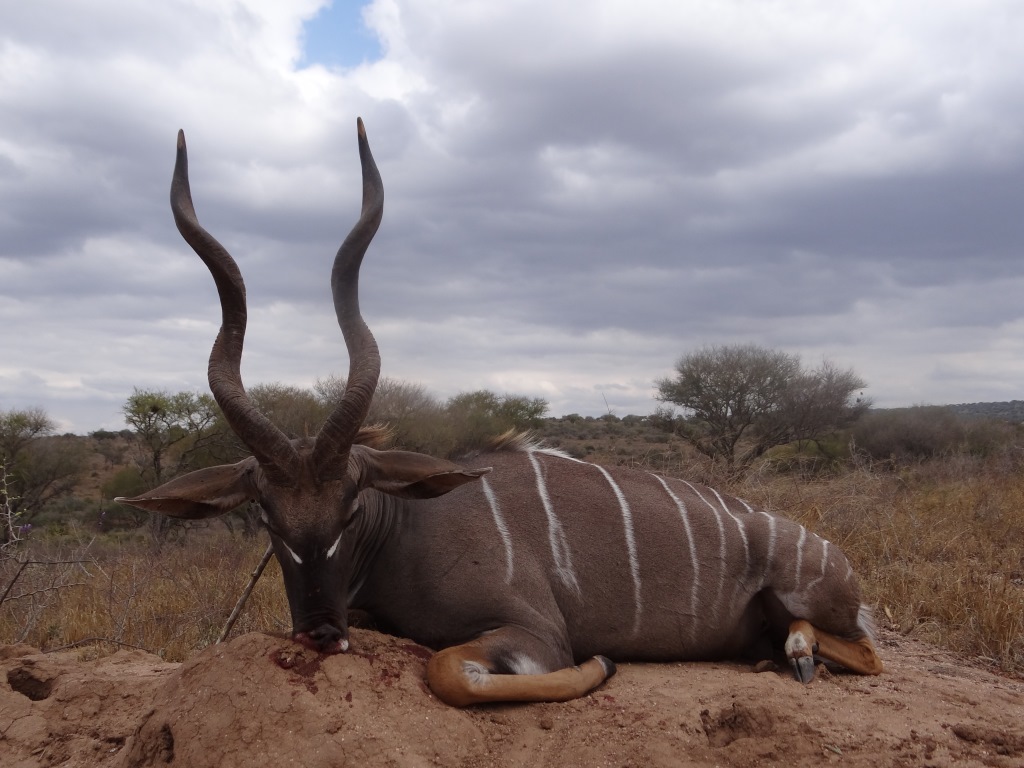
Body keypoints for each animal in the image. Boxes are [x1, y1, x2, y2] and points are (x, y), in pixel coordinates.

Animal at [117, 121, 880, 708]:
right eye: (265, 513)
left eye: (352, 504)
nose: (320, 632)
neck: (407, 529)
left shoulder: (534, 632)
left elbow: (450, 670)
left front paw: (601, 664)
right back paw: (775, 655)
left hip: (816, 601)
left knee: (866, 650)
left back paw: (800, 652)